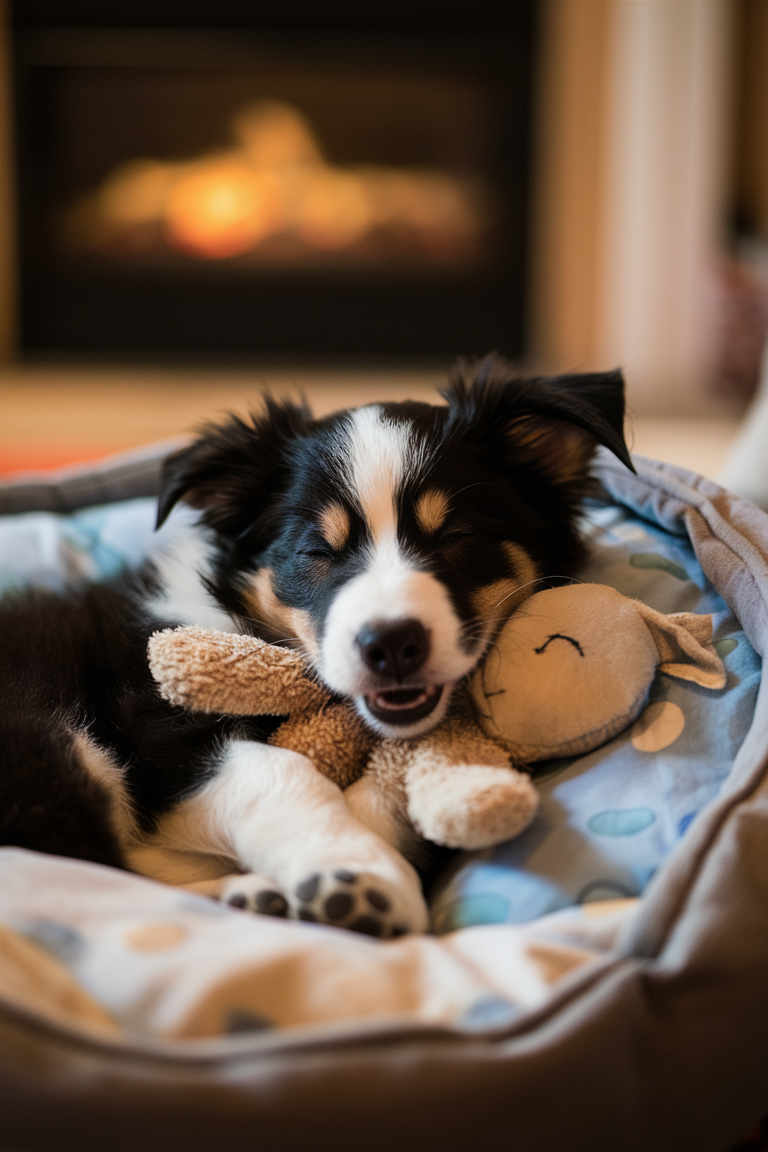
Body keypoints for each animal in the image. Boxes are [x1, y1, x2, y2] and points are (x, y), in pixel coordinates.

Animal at [0, 357, 635, 935]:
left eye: (458, 536)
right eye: (316, 551)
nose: (391, 645)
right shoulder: (162, 723)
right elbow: (277, 771)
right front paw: (356, 878)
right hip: (56, 746)